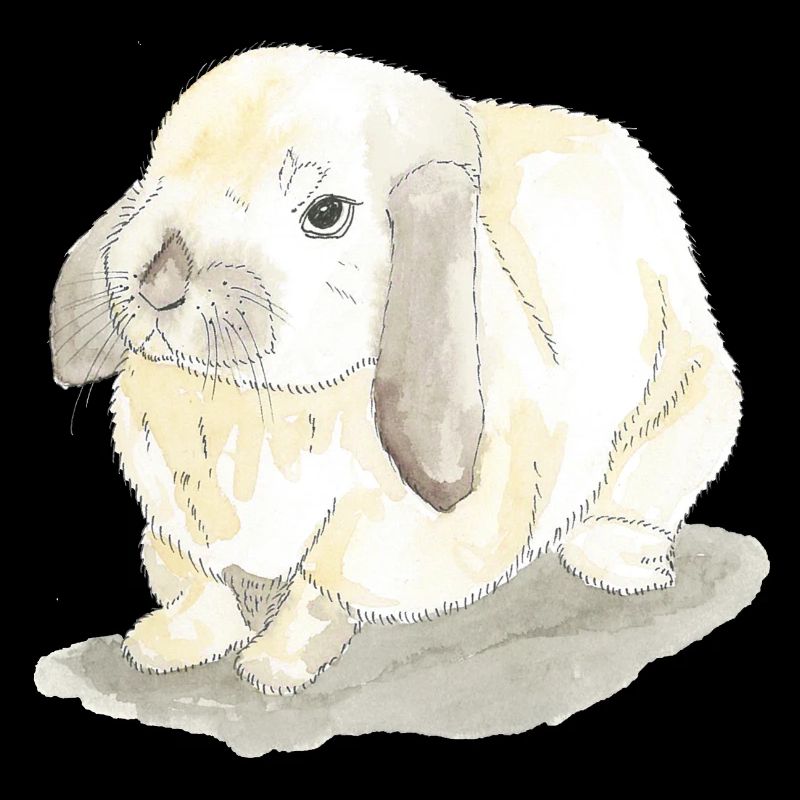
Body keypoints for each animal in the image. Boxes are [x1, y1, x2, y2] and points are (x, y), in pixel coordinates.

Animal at [50, 45, 742, 695]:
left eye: (325, 214)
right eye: (158, 175)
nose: (158, 282)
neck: (258, 401)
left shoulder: (374, 538)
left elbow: (319, 591)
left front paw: (278, 665)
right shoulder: (171, 516)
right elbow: (200, 585)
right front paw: (164, 644)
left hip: (688, 389)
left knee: (643, 490)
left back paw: (615, 562)